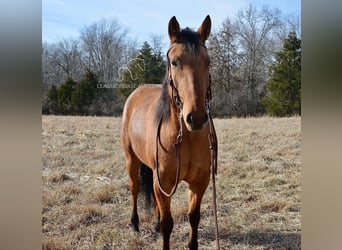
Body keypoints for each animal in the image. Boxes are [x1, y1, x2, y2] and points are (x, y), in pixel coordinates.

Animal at [120, 15, 216, 250]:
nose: (196, 117)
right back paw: (135, 224)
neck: (185, 137)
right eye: (175, 62)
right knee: (135, 188)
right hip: (131, 160)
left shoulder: (199, 182)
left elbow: (193, 217)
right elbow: (167, 224)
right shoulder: (162, 181)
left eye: (208, 62)